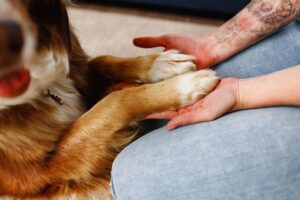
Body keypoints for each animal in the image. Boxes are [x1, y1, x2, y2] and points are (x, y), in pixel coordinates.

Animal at [0, 0, 219, 199]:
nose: (9, 39)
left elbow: (102, 61)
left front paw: (159, 63)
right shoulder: (40, 174)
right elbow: (114, 101)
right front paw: (184, 86)